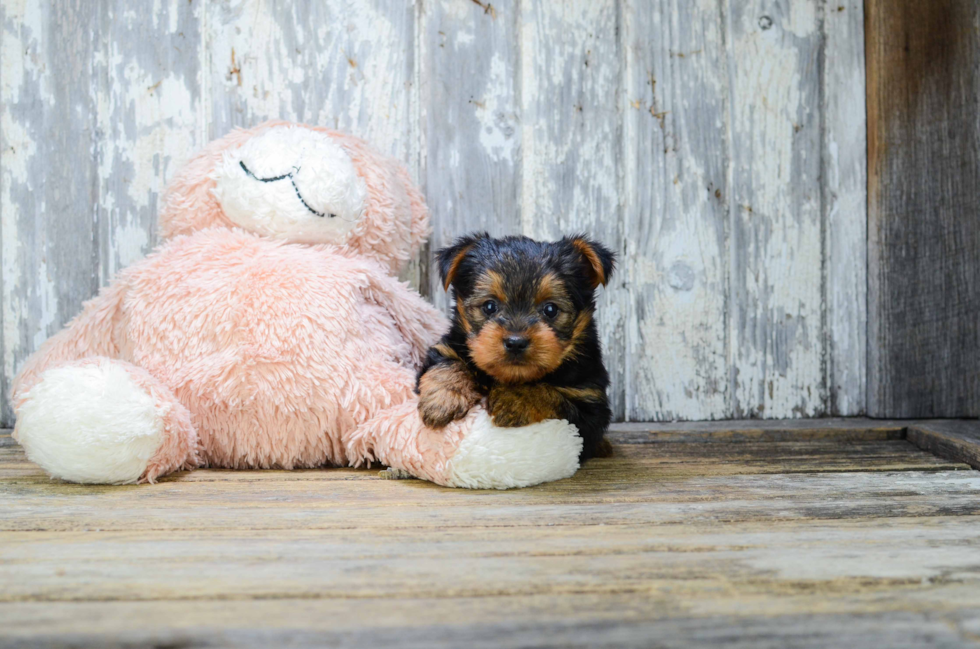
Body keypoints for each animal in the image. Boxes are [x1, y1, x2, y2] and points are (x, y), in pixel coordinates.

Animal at [418, 233, 616, 460]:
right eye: (489, 306)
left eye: (550, 309)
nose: (515, 342)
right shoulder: (447, 346)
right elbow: (448, 362)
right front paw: (442, 399)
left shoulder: (590, 406)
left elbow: (552, 396)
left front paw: (514, 398)